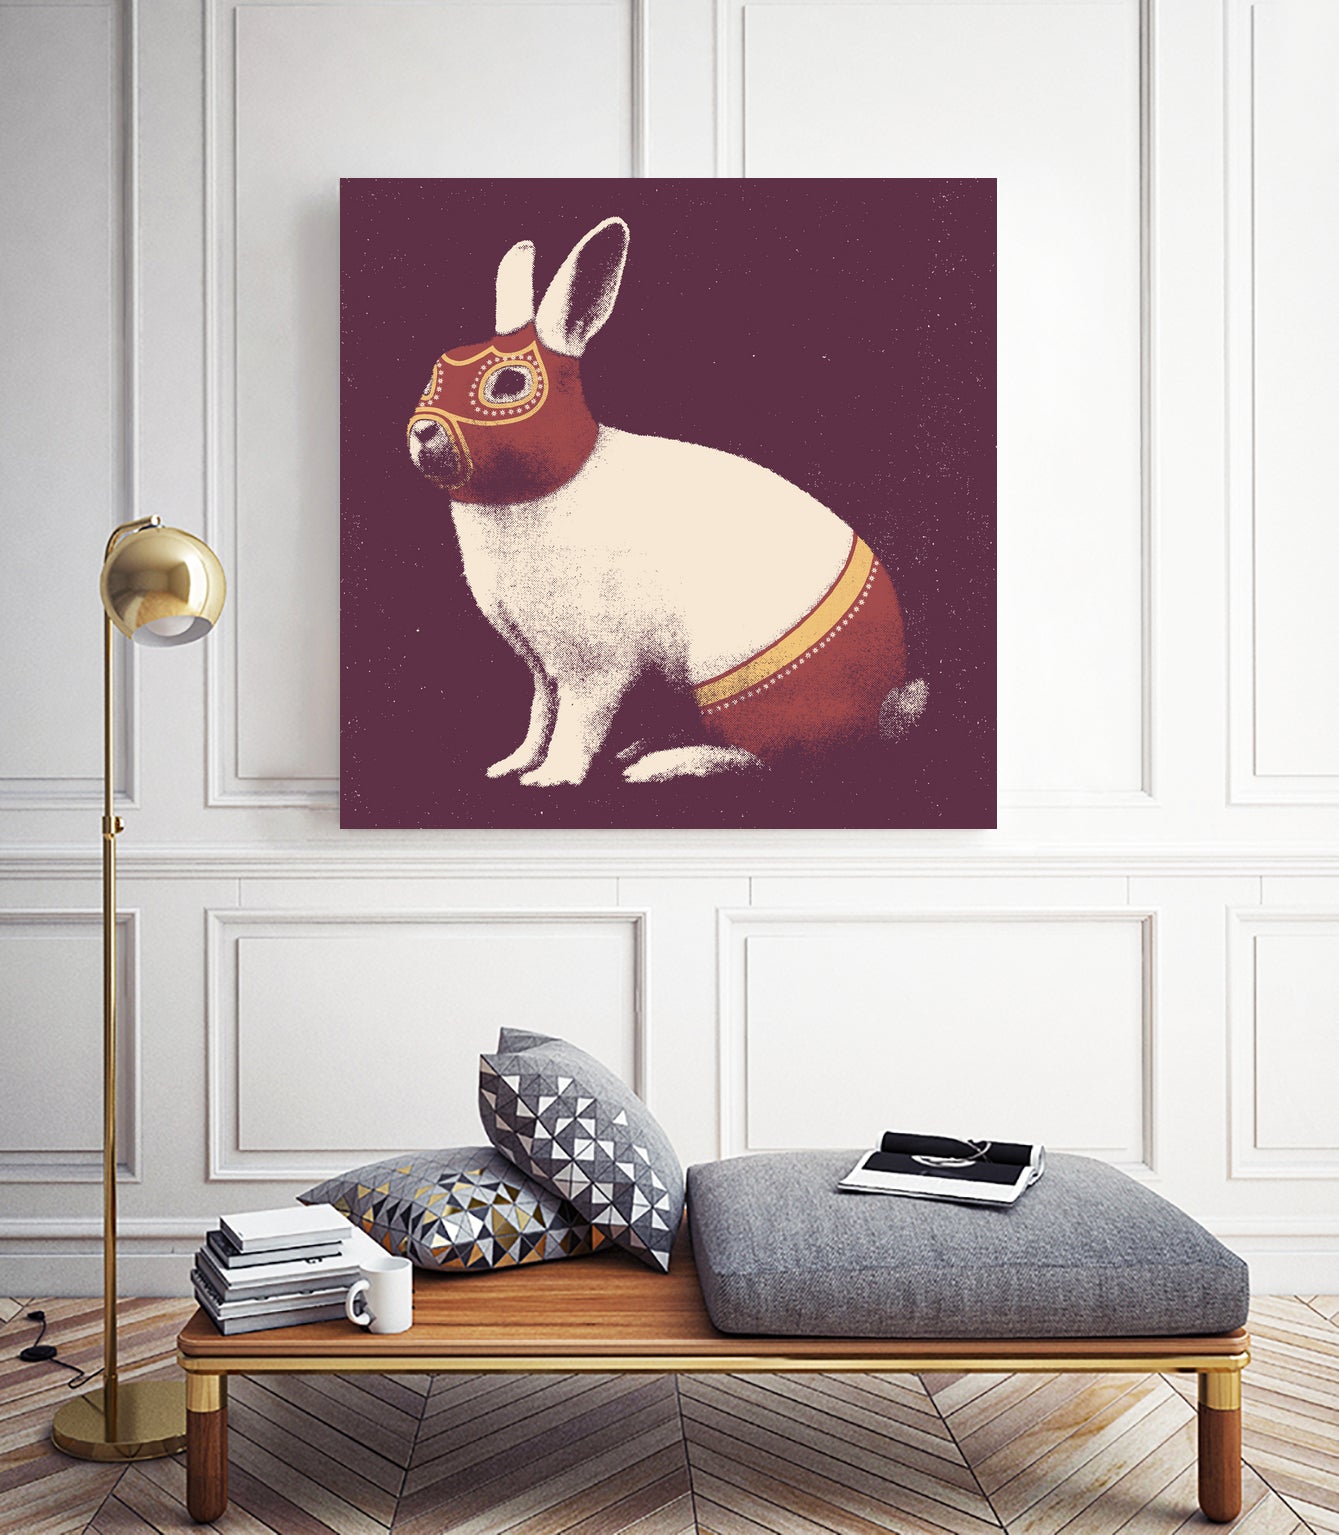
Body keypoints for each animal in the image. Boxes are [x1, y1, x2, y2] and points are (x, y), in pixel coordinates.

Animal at [407, 216, 925, 787]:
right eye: (436, 371)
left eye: (508, 384)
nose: (422, 431)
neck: (556, 480)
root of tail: (884, 704)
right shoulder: (541, 666)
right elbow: (541, 713)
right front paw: (511, 764)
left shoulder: (594, 666)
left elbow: (576, 722)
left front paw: (553, 778)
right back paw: (640, 749)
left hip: (732, 681)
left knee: (761, 756)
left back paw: (658, 765)